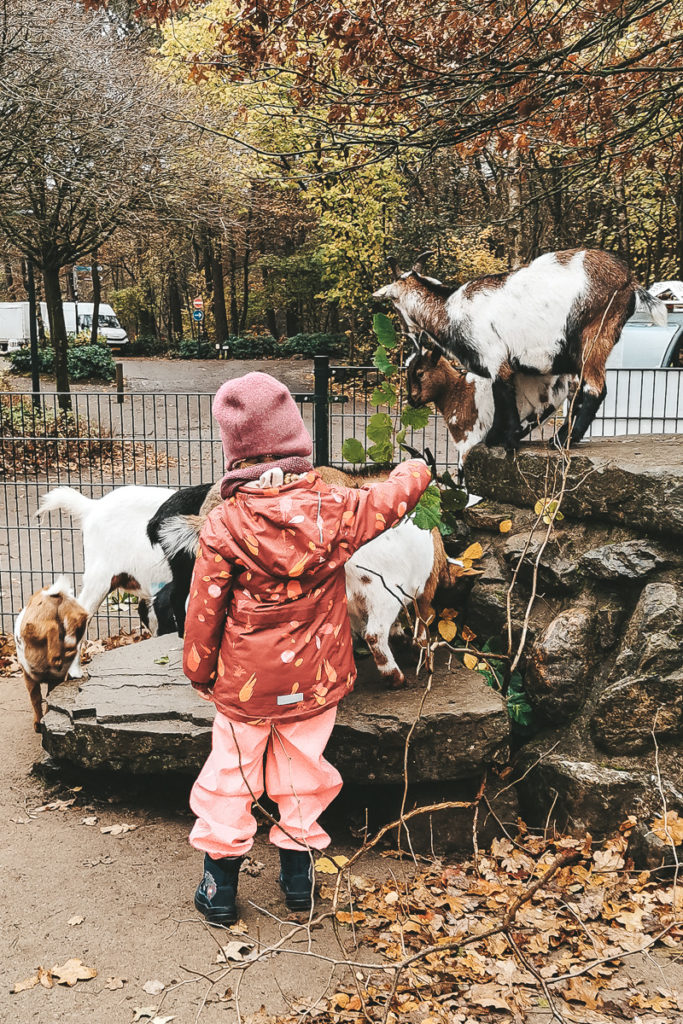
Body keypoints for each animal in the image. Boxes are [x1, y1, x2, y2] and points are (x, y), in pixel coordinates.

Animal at [14, 581, 88, 733]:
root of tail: (56, 595)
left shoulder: (29, 678)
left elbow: (36, 699)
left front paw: (38, 724)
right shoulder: (54, 680)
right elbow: (48, 698)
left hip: (33, 625)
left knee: (51, 627)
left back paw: (57, 657)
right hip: (74, 615)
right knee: (76, 623)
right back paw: (67, 651)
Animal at [374, 247, 667, 448]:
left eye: (393, 303)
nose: (408, 334)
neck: (451, 310)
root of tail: (630, 281)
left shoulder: (495, 359)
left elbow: (503, 398)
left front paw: (502, 439)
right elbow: (513, 400)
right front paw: (504, 437)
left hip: (594, 337)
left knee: (595, 389)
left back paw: (561, 441)